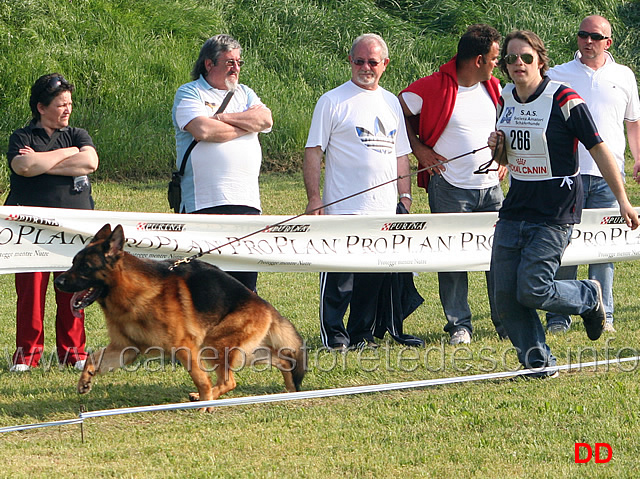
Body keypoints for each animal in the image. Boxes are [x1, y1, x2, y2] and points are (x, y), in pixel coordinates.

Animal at [54, 223, 304, 410]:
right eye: (73, 262)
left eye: (85, 267)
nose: (57, 281)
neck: (131, 291)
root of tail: (264, 305)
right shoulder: (126, 349)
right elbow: (93, 358)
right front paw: (85, 381)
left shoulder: (184, 347)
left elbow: (201, 379)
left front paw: (204, 403)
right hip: (243, 351)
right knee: (281, 360)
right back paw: (290, 390)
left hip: (215, 346)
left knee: (228, 381)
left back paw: (205, 400)